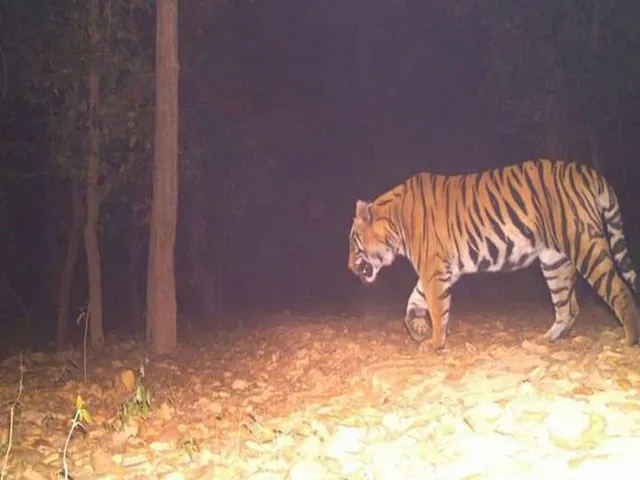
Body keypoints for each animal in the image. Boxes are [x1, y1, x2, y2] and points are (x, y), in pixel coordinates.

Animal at [348, 158, 640, 349]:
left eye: (352, 242)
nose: (349, 268)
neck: (395, 223)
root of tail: (589, 173)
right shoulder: (442, 269)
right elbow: (414, 299)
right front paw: (418, 329)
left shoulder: (434, 269)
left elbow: (436, 307)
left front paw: (434, 342)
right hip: (554, 260)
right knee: (568, 305)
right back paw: (547, 338)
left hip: (584, 245)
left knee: (619, 289)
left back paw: (629, 339)